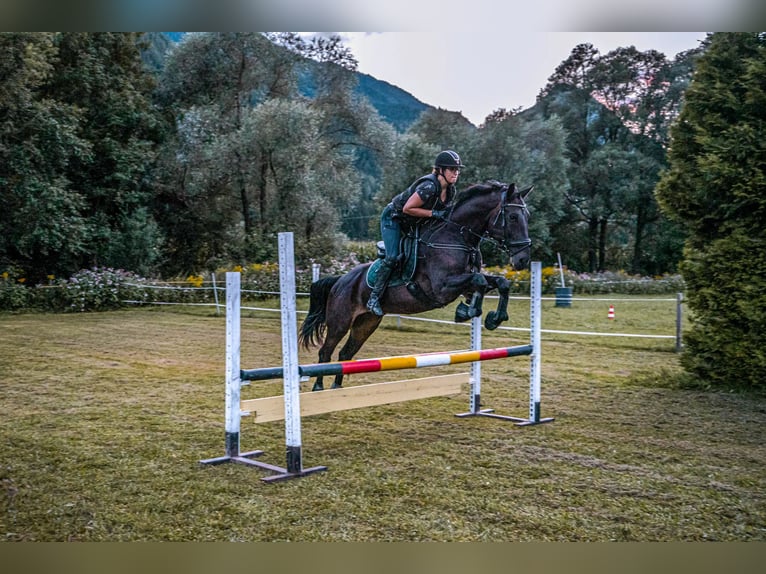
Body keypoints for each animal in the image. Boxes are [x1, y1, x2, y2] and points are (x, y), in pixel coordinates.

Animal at [300, 182, 536, 394]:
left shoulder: (465, 284)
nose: (523, 259)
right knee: (325, 353)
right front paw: (467, 311)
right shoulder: (442, 287)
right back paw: (319, 388)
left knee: (345, 355)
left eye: (527, 216)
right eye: (513, 217)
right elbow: (479, 280)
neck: (456, 237)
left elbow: (499, 283)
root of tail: (340, 280)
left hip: (366, 323)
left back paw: (337, 389)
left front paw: (492, 318)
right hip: (340, 321)